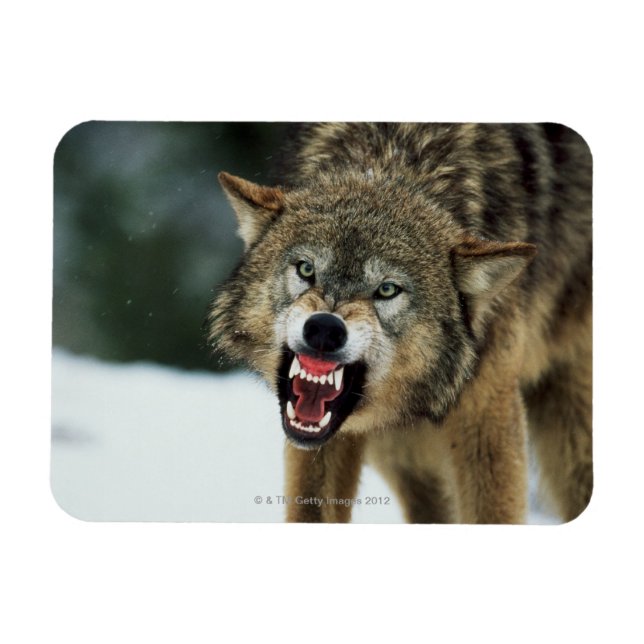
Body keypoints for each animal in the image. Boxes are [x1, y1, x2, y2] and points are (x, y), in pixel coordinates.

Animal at [207, 123, 592, 524]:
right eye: (306, 269)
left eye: (387, 289)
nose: (324, 328)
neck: (393, 156)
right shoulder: (324, 440)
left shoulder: (487, 414)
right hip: (402, 455)